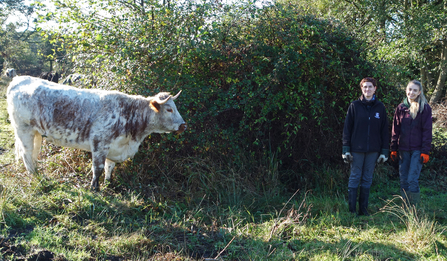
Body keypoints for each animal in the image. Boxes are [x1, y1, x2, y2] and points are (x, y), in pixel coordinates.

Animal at [7, 75, 186, 189]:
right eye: (169, 109)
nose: (184, 125)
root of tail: (19, 79)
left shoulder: (114, 147)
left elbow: (109, 167)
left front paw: (108, 184)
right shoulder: (100, 143)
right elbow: (98, 168)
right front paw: (95, 188)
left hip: (36, 133)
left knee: (34, 153)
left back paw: (38, 172)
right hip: (23, 129)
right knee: (26, 153)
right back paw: (34, 175)